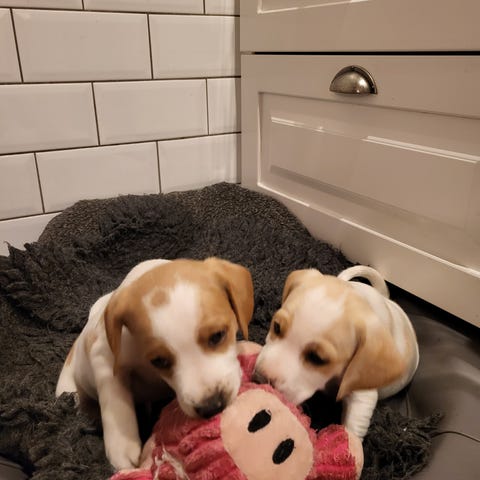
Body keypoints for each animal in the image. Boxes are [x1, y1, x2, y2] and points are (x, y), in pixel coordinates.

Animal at [56, 257, 254, 470]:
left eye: (217, 336)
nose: (211, 407)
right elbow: (115, 399)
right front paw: (122, 446)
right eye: (159, 361)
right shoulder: (104, 357)